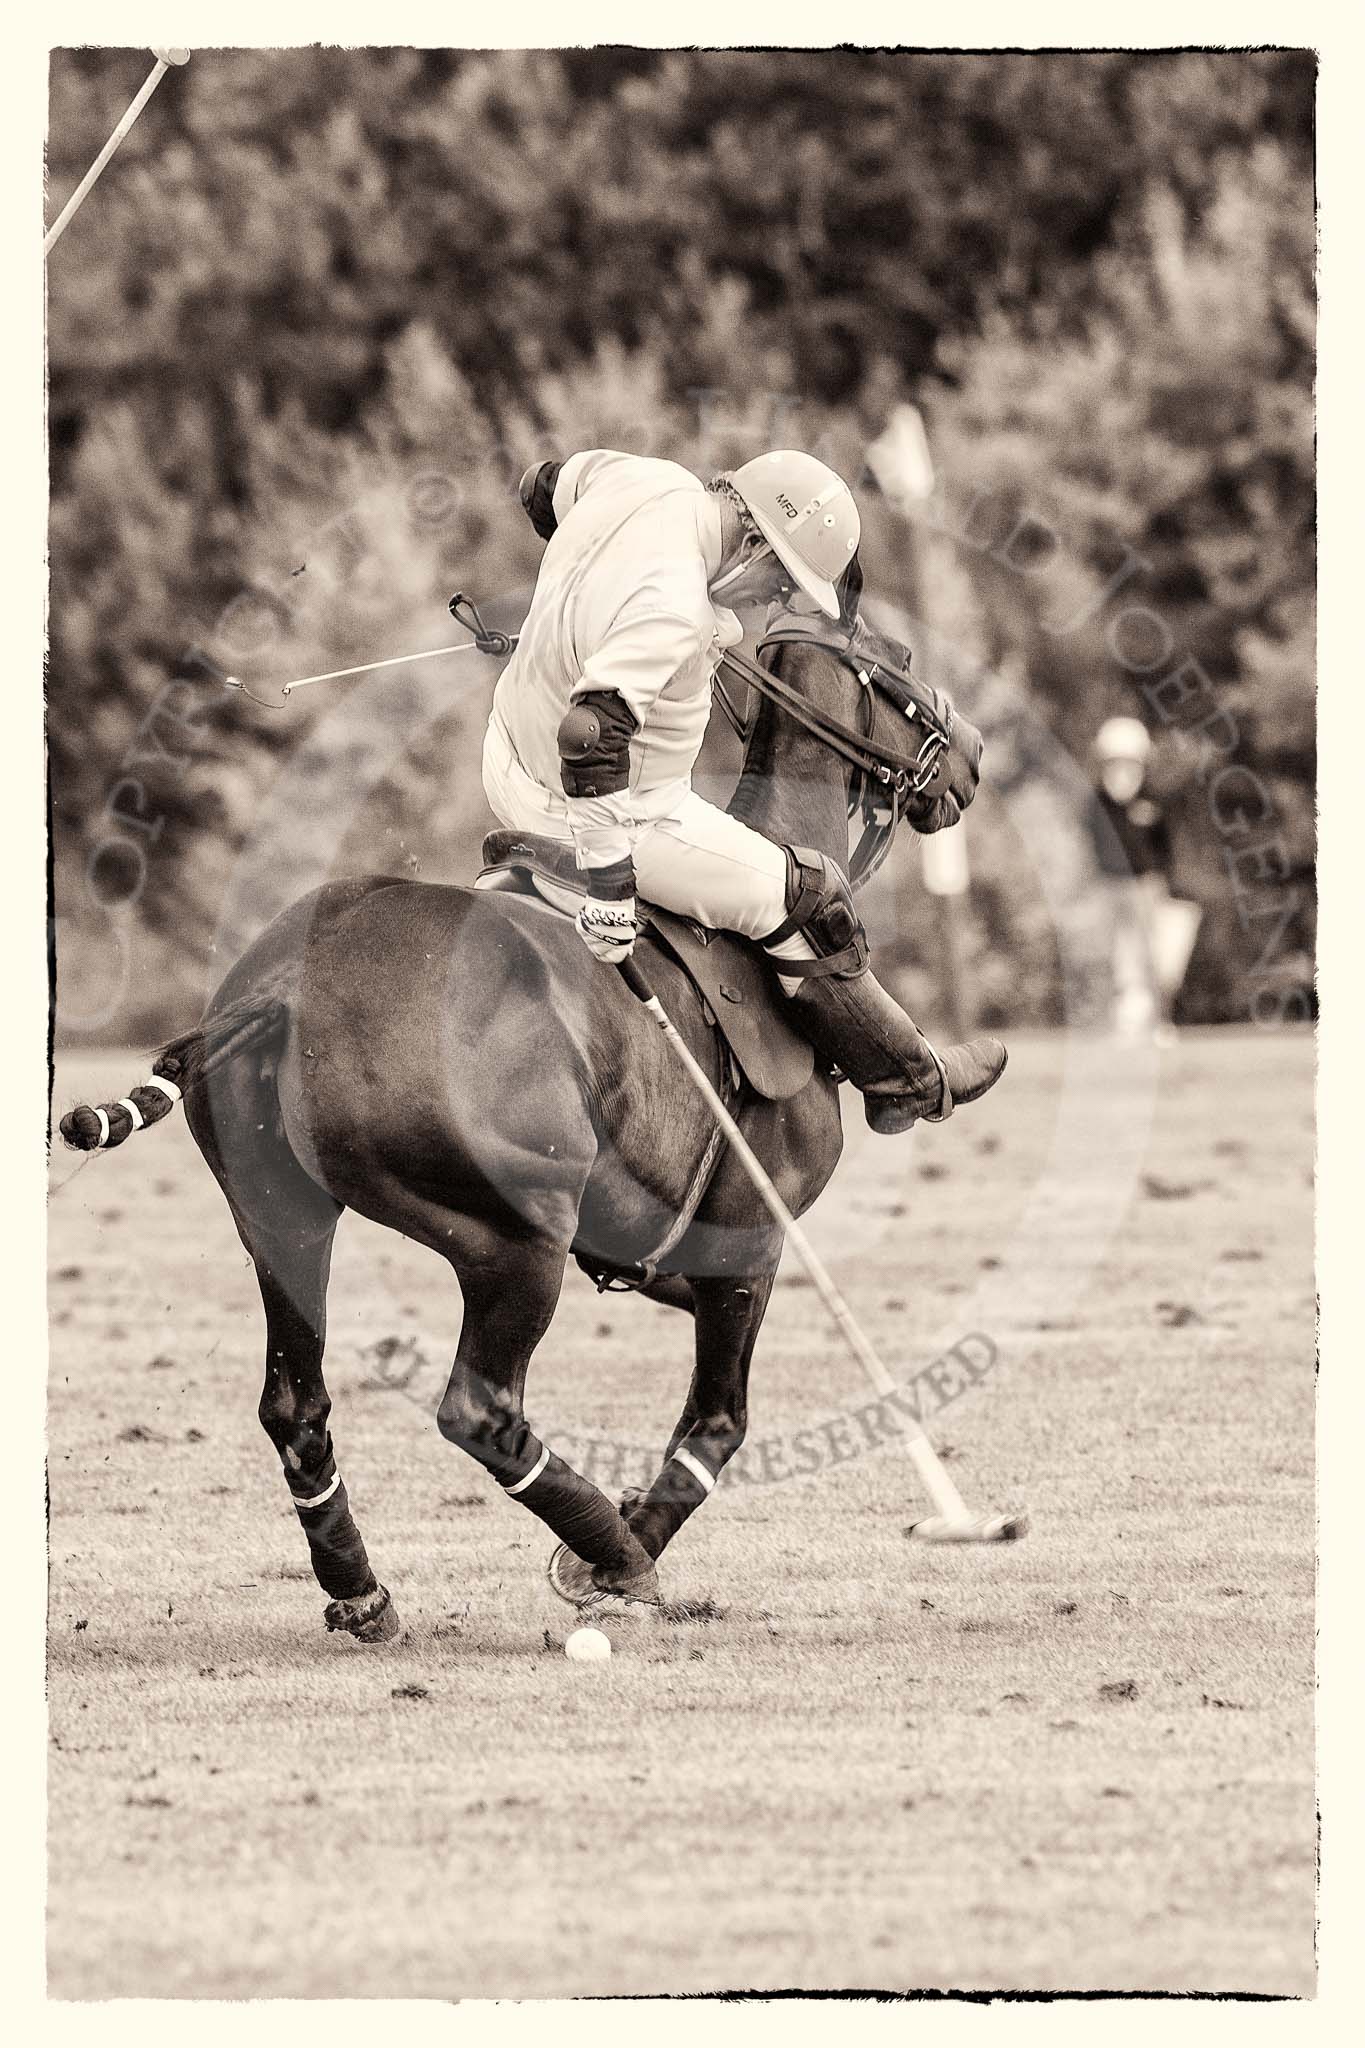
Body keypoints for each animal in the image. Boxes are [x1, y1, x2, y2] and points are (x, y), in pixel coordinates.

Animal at [63, 622, 978, 1646]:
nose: (972, 758)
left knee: (294, 1405)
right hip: (512, 1239)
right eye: (900, 663)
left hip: (281, 1218)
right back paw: (612, 1554)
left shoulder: (648, 1242)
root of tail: (281, 992)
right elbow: (719, 1421)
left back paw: (361, 1590)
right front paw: (616, 1551)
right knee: (481, 1410)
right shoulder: (747, 1235)